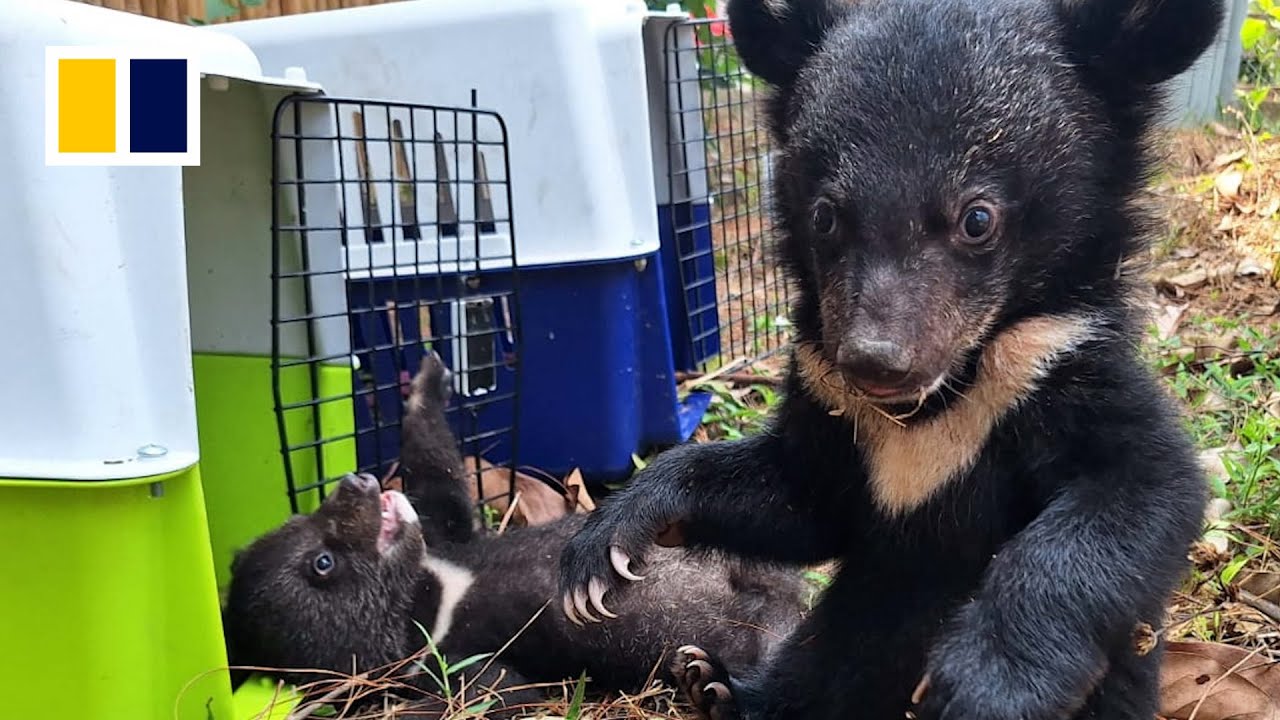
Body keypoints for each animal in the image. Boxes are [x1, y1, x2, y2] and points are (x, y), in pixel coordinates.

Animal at [557, 0, 1223, 718]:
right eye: (826, 215)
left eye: (977, 218)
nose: (875, 362)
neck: (937, 403)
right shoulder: (826, 401)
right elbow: (800, 500)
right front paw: (606, 549)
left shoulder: (1060, 366)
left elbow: (1140, 486)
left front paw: (983, 685)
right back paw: (715, 685)